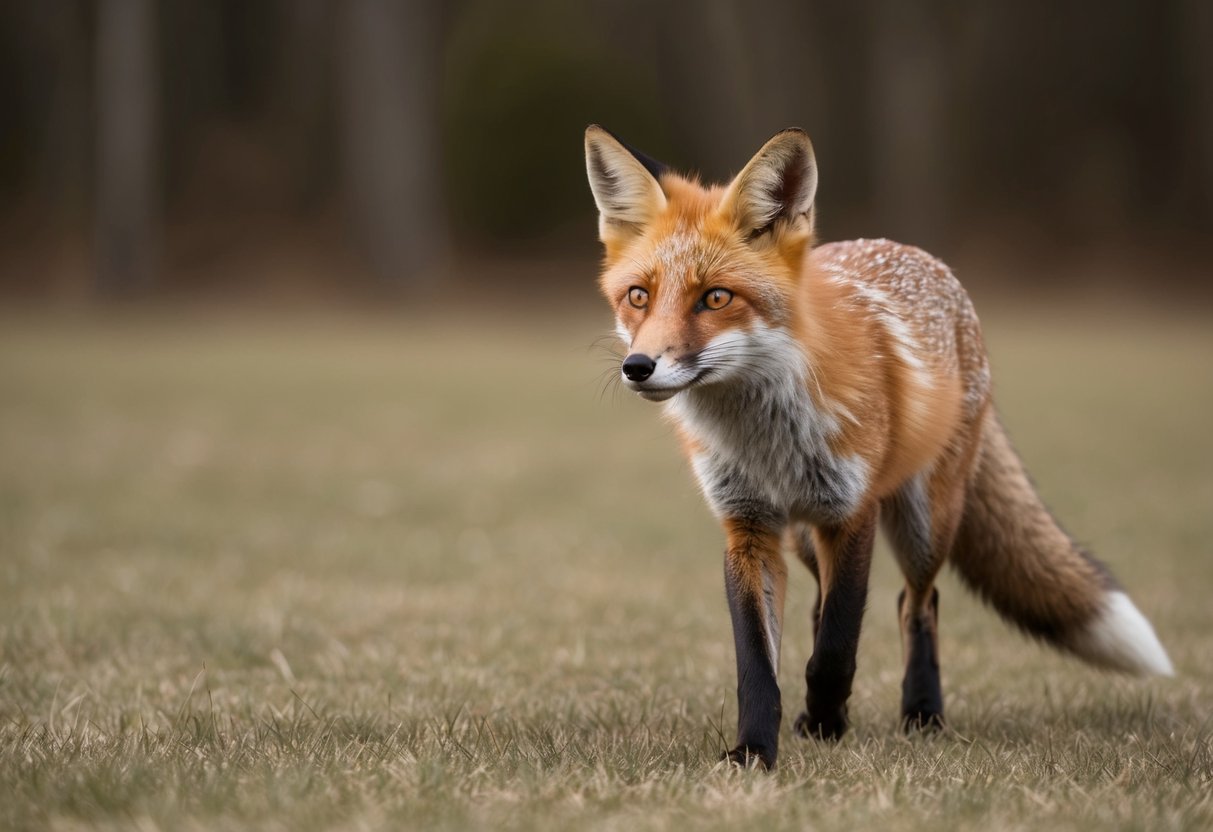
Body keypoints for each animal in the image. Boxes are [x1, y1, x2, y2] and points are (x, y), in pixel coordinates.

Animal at [583, 125, 1173, 769]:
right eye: (639, 297)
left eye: (715, 298)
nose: (639, 367)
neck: (766, 440)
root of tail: (922, 256)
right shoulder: (749, 527)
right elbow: (759, 663)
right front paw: (756, 750)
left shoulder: (852, 511)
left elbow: (837, 646)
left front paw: (823, 718)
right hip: (805, 537)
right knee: (824, 605)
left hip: (924, 523)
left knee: (917, 604)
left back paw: (922, 714)